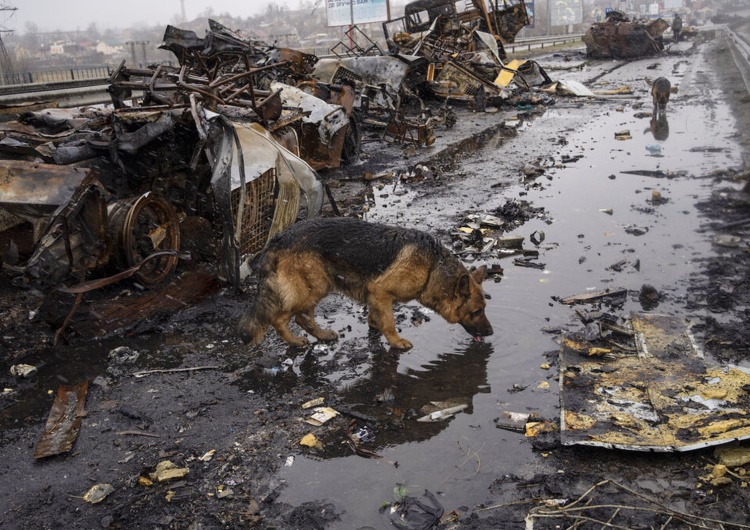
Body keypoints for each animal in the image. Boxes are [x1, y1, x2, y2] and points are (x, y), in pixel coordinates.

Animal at [235, 217, 494, 348]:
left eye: (484, 309)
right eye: (476, 311)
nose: (491, 333)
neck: (433, 266)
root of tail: (277, 239)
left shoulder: (375, 295)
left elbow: (376, 315)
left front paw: (374, 325)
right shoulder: (380, 290)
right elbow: (389, 322)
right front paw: (396, 342)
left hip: (316, 286)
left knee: (302, 318)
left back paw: (322, 336)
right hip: (313, 287)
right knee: (281, 318)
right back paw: (296, 341)